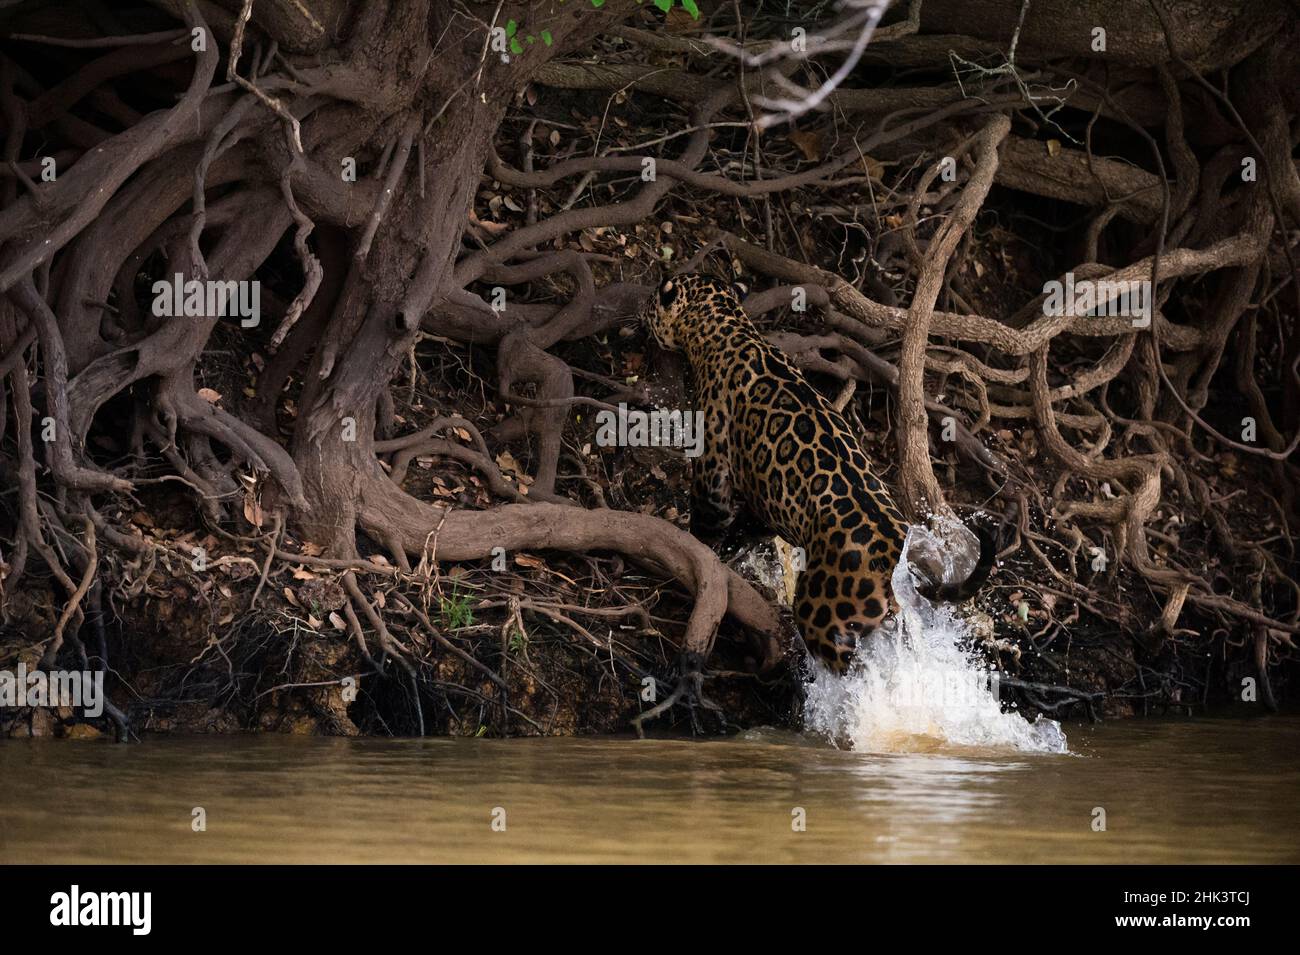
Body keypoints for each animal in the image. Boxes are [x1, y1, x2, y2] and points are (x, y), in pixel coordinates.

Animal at [644, 272, 993, 673]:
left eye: (654, 302)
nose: (641, 313)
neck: (728, 327)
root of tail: (895, 557)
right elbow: (754, 521)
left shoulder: (714, 465)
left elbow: (709, 516)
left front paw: (696, 542)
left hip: (822, 618)